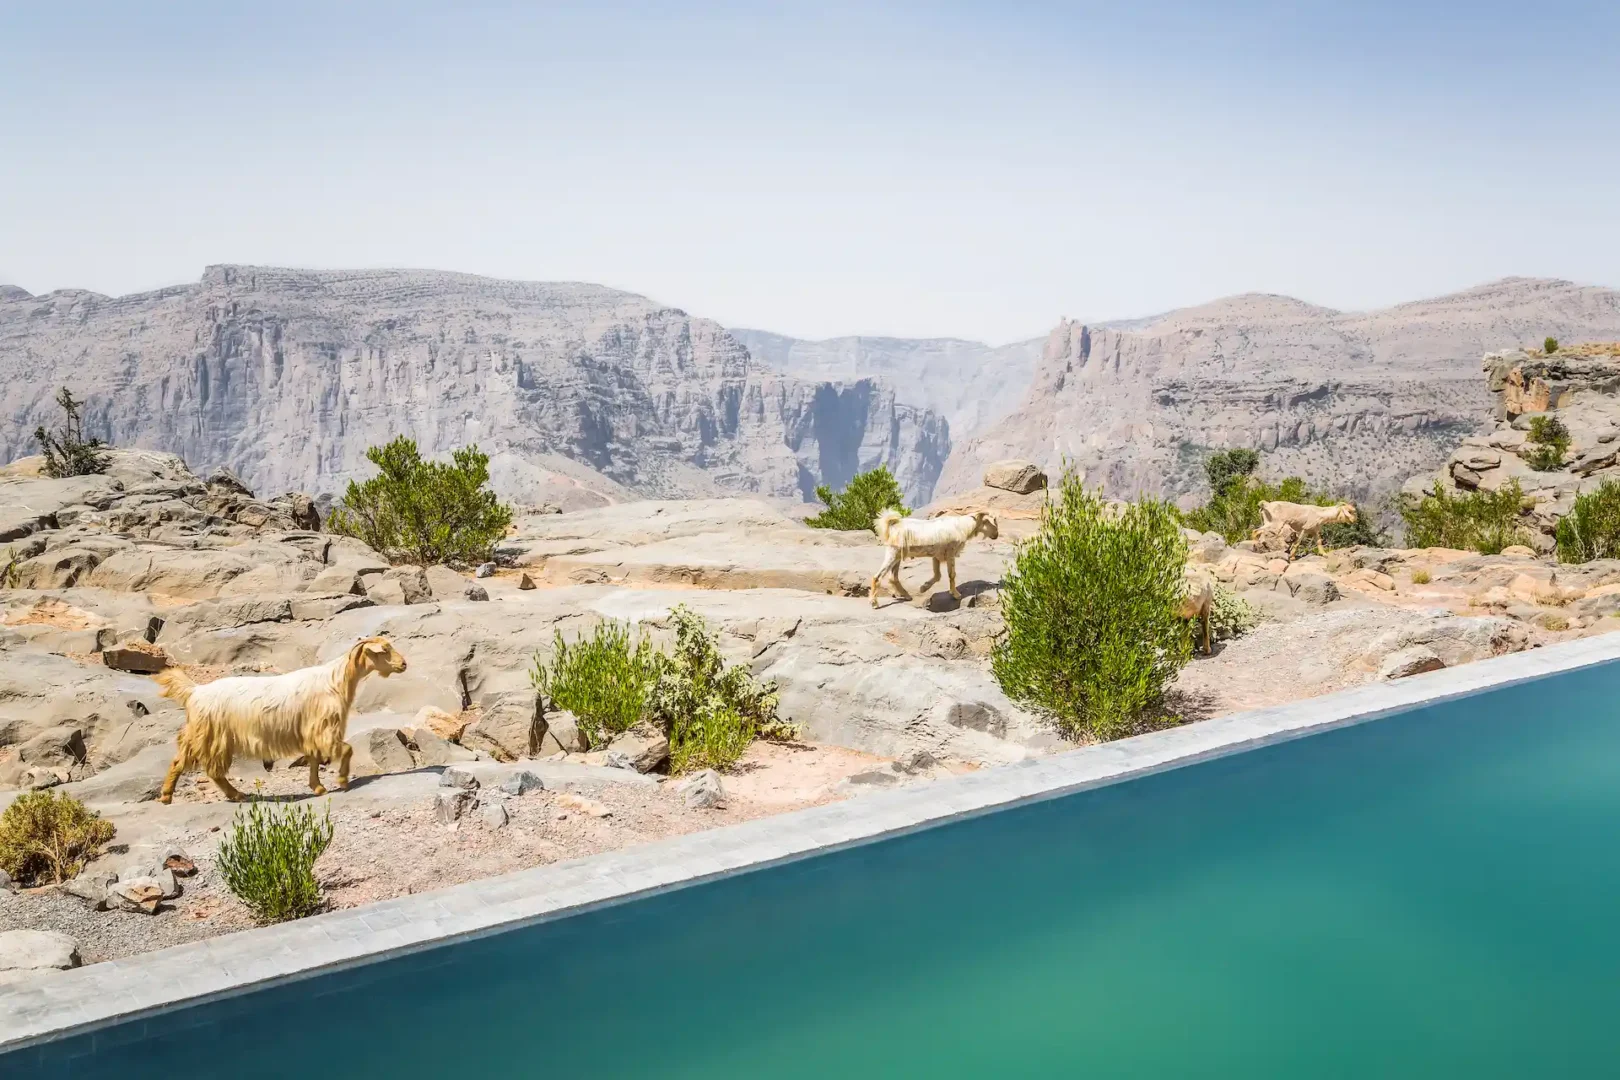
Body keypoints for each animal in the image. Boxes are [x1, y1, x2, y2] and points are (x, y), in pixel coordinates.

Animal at [153, 636, 408, 803]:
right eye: (384, 650)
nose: (404, 664)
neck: (335, 681)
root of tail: (195, 691)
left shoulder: (311, 731)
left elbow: (314, 759)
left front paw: (318, 787)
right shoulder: (323, 728)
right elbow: (346, 749)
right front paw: (343, 780)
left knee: (197, 766)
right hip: (210, 735)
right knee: (198, 766)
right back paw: (173, 796)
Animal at [870, 509, 999, 608]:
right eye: (987, 521)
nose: (996, 535)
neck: (963, 527)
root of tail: (893, 525)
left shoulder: (936, 555)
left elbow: (938, 576)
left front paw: (923, 587)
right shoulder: (950, 553)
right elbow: (952, 575)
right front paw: (956, 594)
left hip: (898, 555)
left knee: (893, 578)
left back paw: (906, 595)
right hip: (893, 552)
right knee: (877, 577)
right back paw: (874, 602)